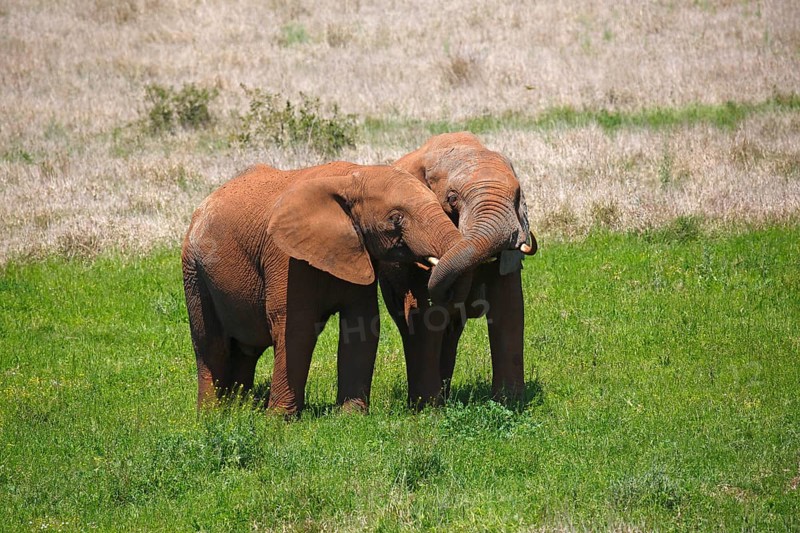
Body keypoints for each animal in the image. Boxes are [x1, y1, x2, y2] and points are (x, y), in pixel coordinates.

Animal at [182, 162, 465, 416]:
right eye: (396, 218)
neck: (351, 177)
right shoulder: (286, 257)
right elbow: (296, 328)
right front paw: (279, 421)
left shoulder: (357, 252)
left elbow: (361, 326)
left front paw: (350, 417)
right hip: (194, 272)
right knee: (210, 345)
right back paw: (212, 416)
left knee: (245, 350)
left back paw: (239, 410)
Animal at [379, 132, 537, 407]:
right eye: (452, 198)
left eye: (518, 196)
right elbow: (426, 314)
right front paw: (428, 408)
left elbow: (509, 307)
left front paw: (510, 403)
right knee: (407, 323)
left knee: (451, 331)